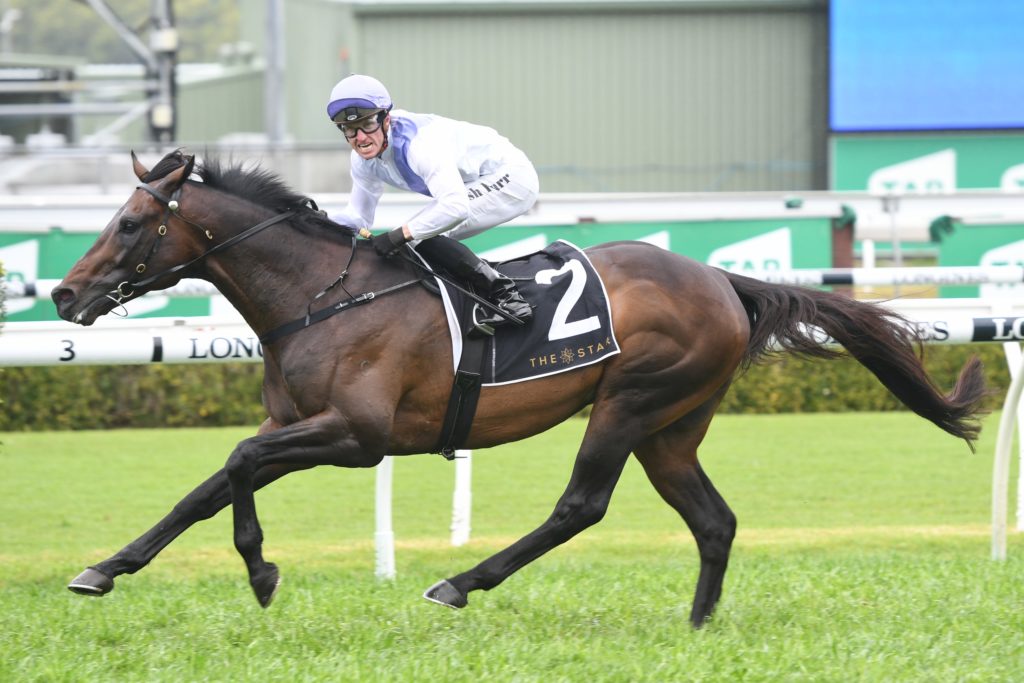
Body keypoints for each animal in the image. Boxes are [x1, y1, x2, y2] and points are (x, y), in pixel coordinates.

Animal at [51, 150, 987, 628]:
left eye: (129, 224)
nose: (62, 294)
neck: (320, 295)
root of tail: (722, 278)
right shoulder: (305, 424)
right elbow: (207, 484)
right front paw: (103, 568)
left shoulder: (356, 436)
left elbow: (240, 462)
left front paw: (261, 571)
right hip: (673, 424)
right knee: (713, 519)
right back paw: (696, 623)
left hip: (631, 401)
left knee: (581, 505)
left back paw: (461, 581)